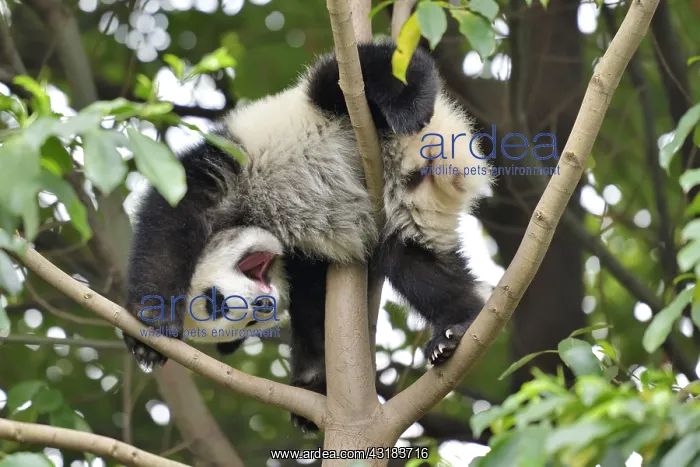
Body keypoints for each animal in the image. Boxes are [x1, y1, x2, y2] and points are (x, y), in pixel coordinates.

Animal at [123, 39, 493, 432]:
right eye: (245, 320)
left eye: (214, 301)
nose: (262, 304)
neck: (260, 220)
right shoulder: (303, 258)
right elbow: (314, 309)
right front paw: (311, 387)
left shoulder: (226, 166)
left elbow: (172, 220)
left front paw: (151, 326)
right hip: (404, 220)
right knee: (419, 266)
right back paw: (455, 329)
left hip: (329, 112)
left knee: (350, 76)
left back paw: (407, 104)